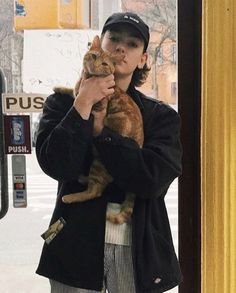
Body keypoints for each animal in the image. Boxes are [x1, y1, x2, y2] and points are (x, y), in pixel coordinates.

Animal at [57, 36, 144, 224]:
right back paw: (82, 178)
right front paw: (59, 88)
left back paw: (71, 196)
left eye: (104, 64)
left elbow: (79, 100)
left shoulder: (98, 105)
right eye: (94, 56)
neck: (87, 78)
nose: (96, 65)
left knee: (95, 191)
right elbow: (73, 93)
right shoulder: (78, 90)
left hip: (99, 164)